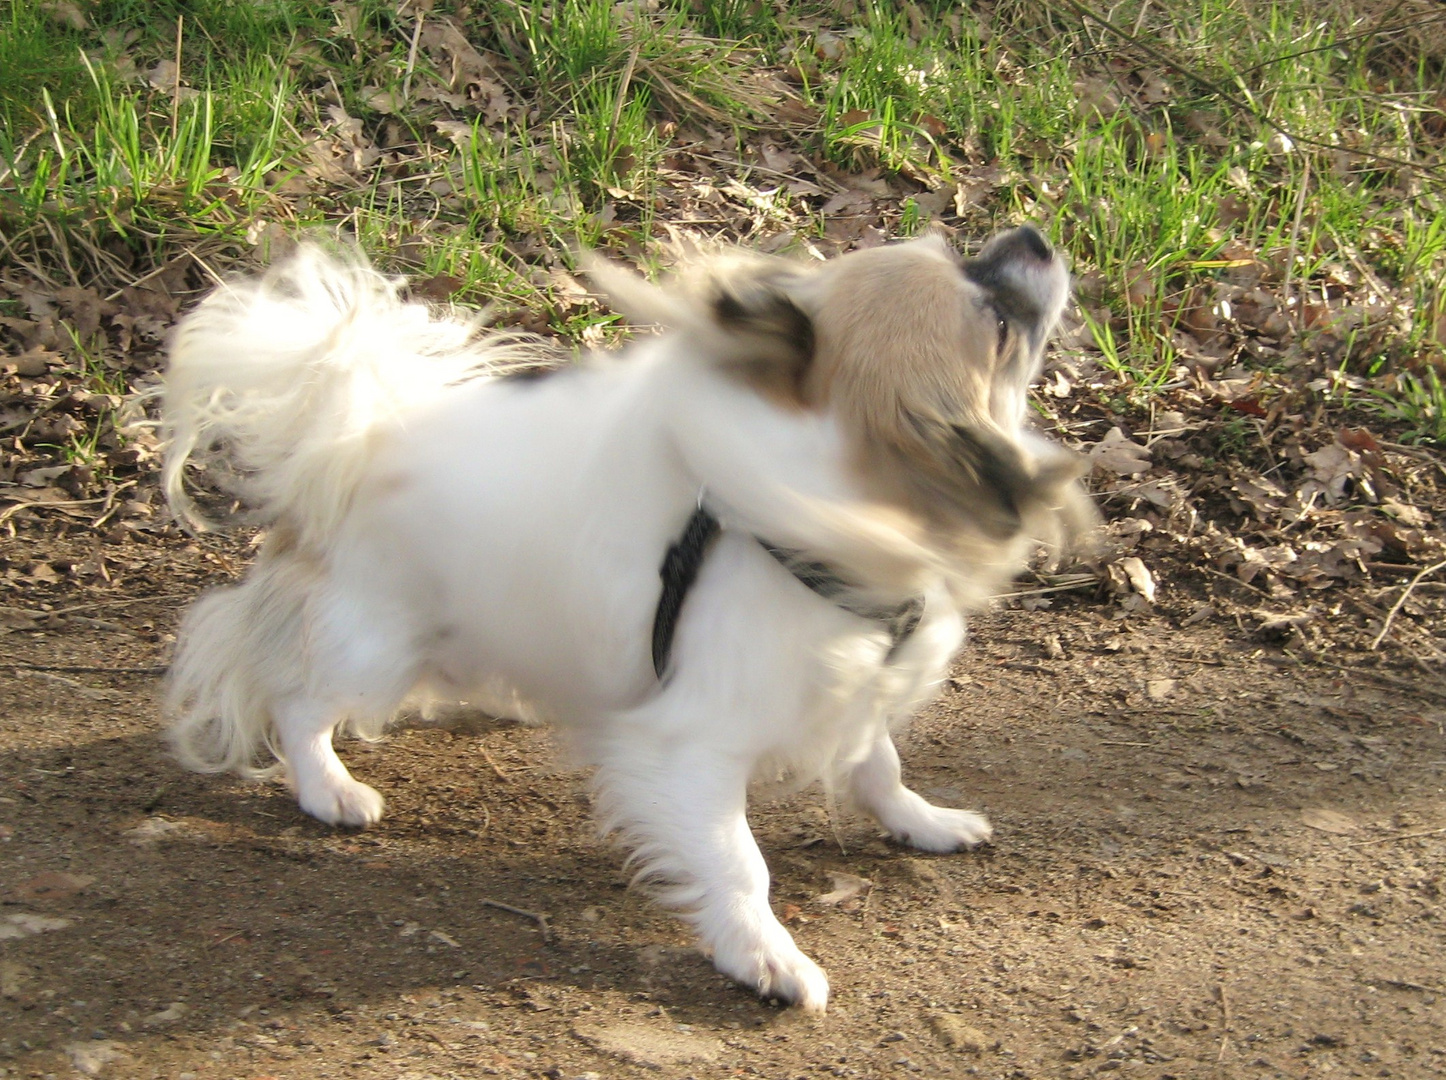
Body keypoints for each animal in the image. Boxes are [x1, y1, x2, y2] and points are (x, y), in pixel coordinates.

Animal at [161, 229, 1087, 1012]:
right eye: (995, 323)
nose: (1034, 236)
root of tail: (353, 440)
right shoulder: (690, 749)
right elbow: (739, 865)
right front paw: (764, 957)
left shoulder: (853, 688)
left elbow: (880, 768)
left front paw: (923, 823)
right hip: (375, 647)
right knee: (297, 699)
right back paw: (328, 788)